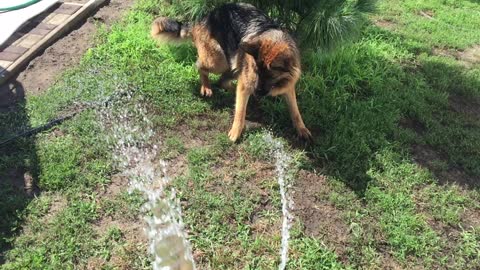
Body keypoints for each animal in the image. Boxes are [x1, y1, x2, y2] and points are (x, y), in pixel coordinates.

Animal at [152, 3, 314, 142]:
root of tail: (204, 18)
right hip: (219, 61)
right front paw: (236, 132)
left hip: (233, 64)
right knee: (200, 66)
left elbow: (295, 111)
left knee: (223, 81)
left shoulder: (288, 87)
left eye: (270, 75)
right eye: (257, 72)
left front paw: (302, 129)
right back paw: (206, 87)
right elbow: (240, 112)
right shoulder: (248, 81)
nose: (257, 91)